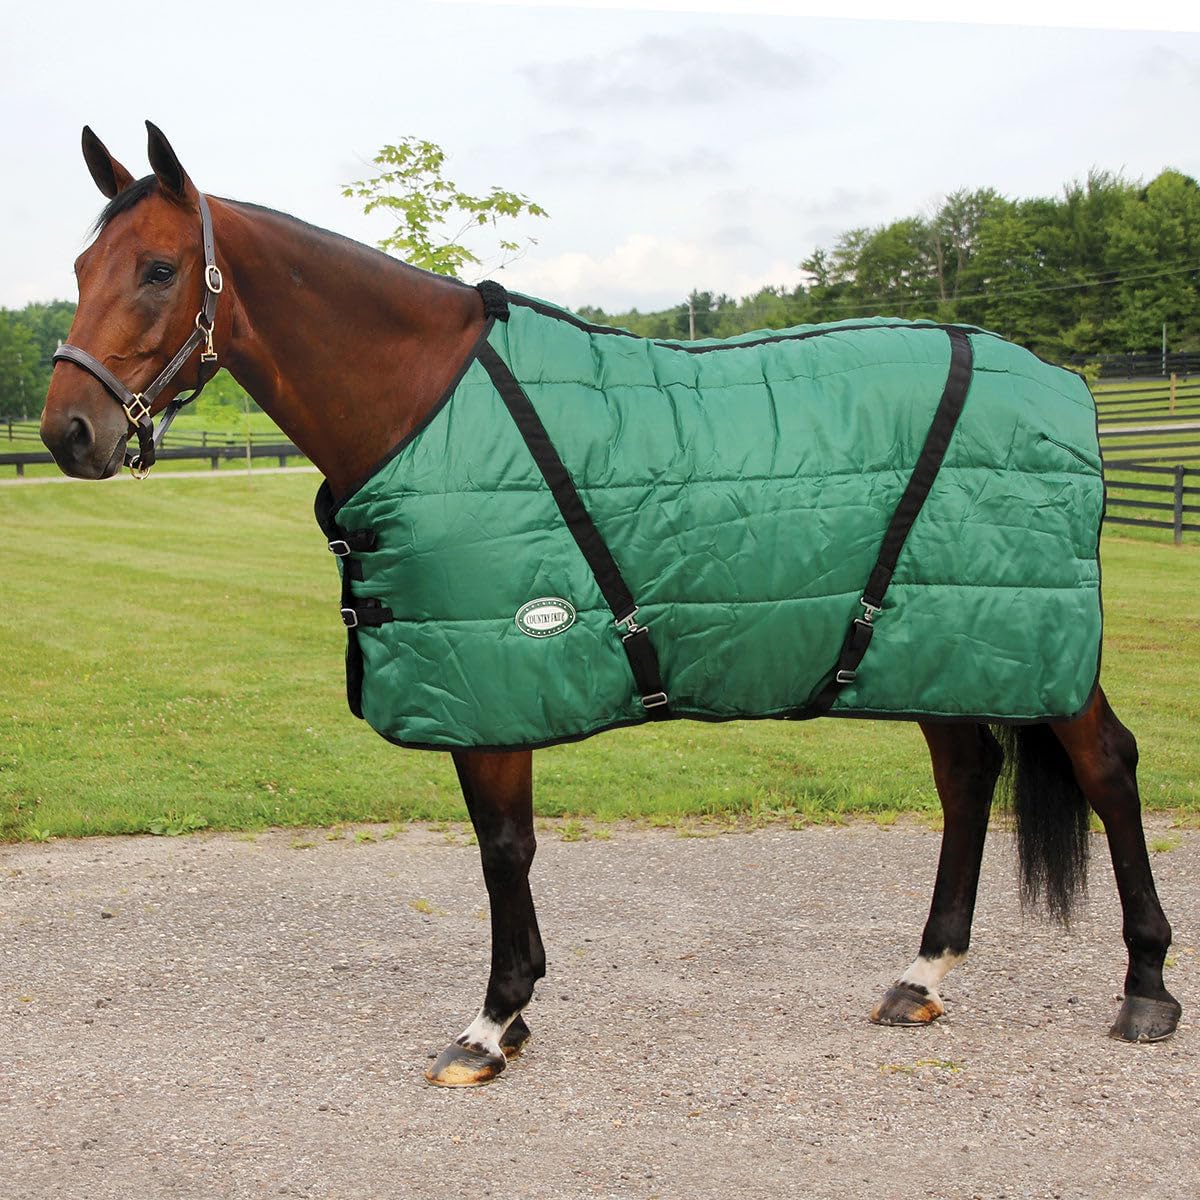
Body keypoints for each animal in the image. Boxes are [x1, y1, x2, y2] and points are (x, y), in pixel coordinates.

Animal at [39, 123, 1182, 1088]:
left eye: (158, 269)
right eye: (82, 270)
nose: (67, 433)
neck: (422, 405)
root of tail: (1058, 382)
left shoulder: (498, 682)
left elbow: (504, 849)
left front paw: (492, 1023)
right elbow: (504, 848)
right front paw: (514, 1014)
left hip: (1027, 639)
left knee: (1105, 765)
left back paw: (1146, 988)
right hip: (943, 641)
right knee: (968, 777)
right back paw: (923, 976)